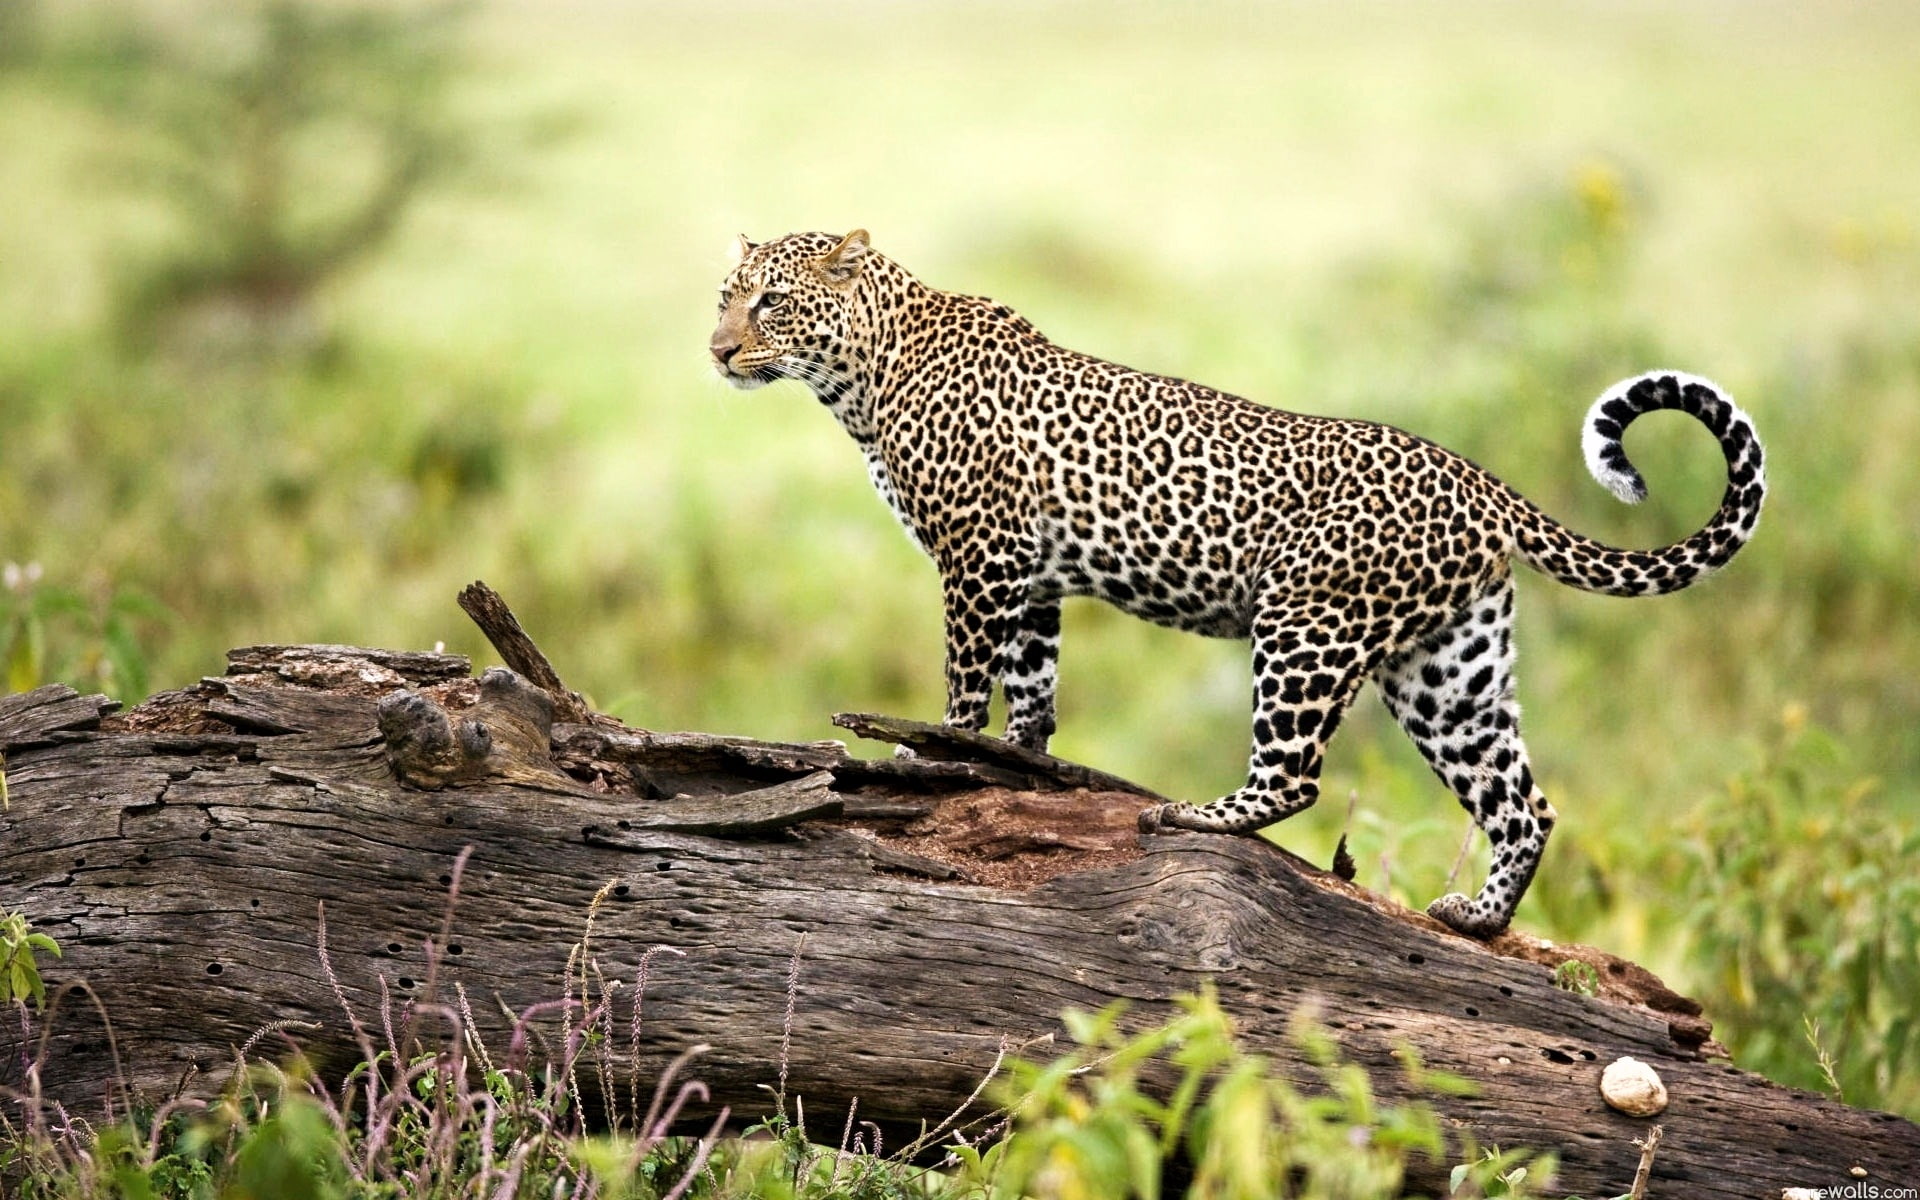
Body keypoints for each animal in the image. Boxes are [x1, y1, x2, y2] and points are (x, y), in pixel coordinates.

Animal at [707, 229, 1766, 938]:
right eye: (725, 296)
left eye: (771, 304)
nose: (718, 351)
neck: (860, 377)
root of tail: (1483, 482)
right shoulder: (1032, 577)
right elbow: (1034, 690)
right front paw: (1018, 766)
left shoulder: (978, 558)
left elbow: (967, 683)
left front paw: (927, 762)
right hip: (1447, 671)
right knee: (1522, 803)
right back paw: (1479, 919)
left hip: (1306, 626)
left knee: (1296, 776)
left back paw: (1194, 813)